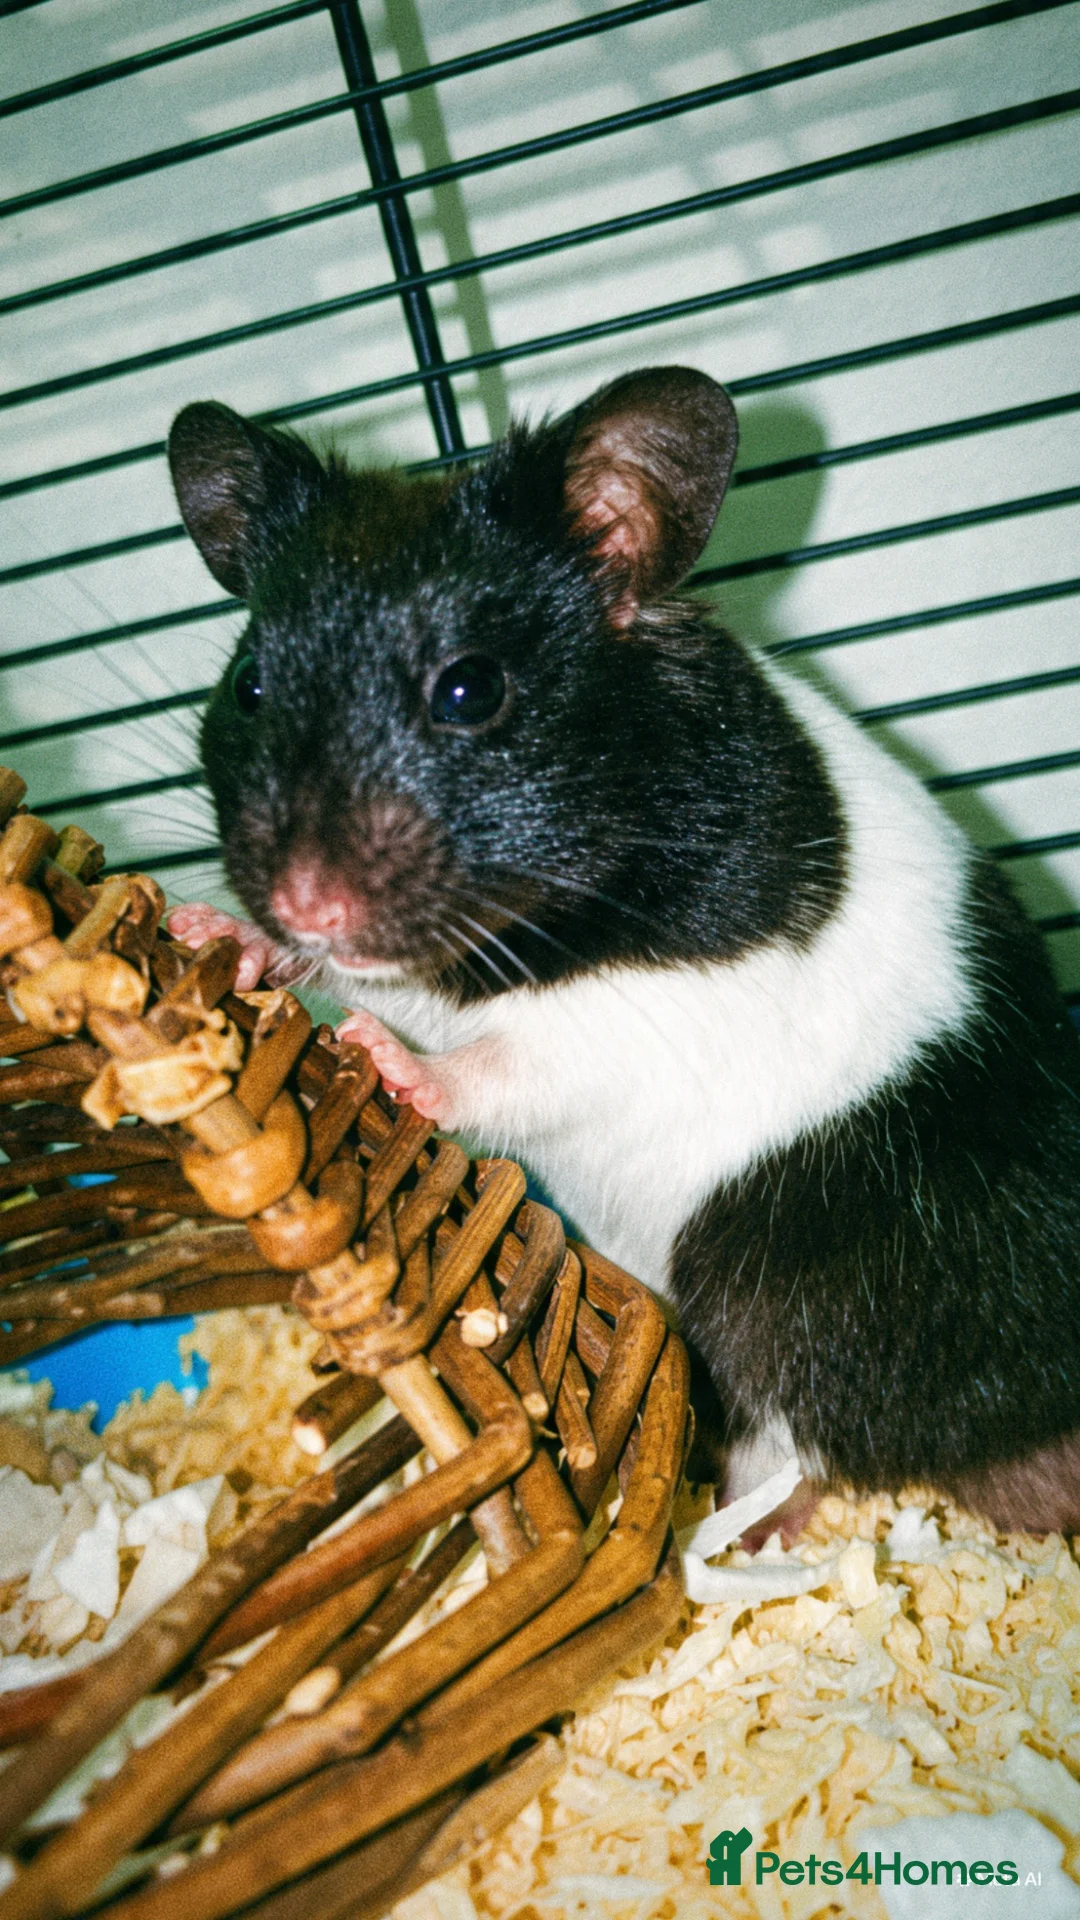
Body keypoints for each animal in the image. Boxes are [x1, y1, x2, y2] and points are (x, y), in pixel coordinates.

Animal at [166, 367, 1080, 1533]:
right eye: (248, 684)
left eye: (470, 689)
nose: (305, 900)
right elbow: (325, 976)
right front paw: (211, 938)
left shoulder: (647, 1023)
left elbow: (509, 1064)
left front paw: (381, 1056)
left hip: (772, 1292)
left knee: (796, 1464)